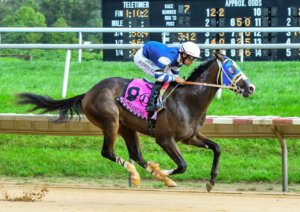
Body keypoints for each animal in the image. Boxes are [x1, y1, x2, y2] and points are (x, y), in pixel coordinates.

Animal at [17, 52, 255, 190]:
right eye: (232, 68)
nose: (251, 88)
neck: (188, 100)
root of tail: (89, 92)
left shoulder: (190, 136)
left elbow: (216, 148)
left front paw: (211, 181)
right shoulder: (165, 139)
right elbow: (182, 165)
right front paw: (164, 172)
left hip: (127, 127)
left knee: (136, 154)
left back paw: (154, 175)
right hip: (110, 122)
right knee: (109, 152)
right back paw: (137, 174)